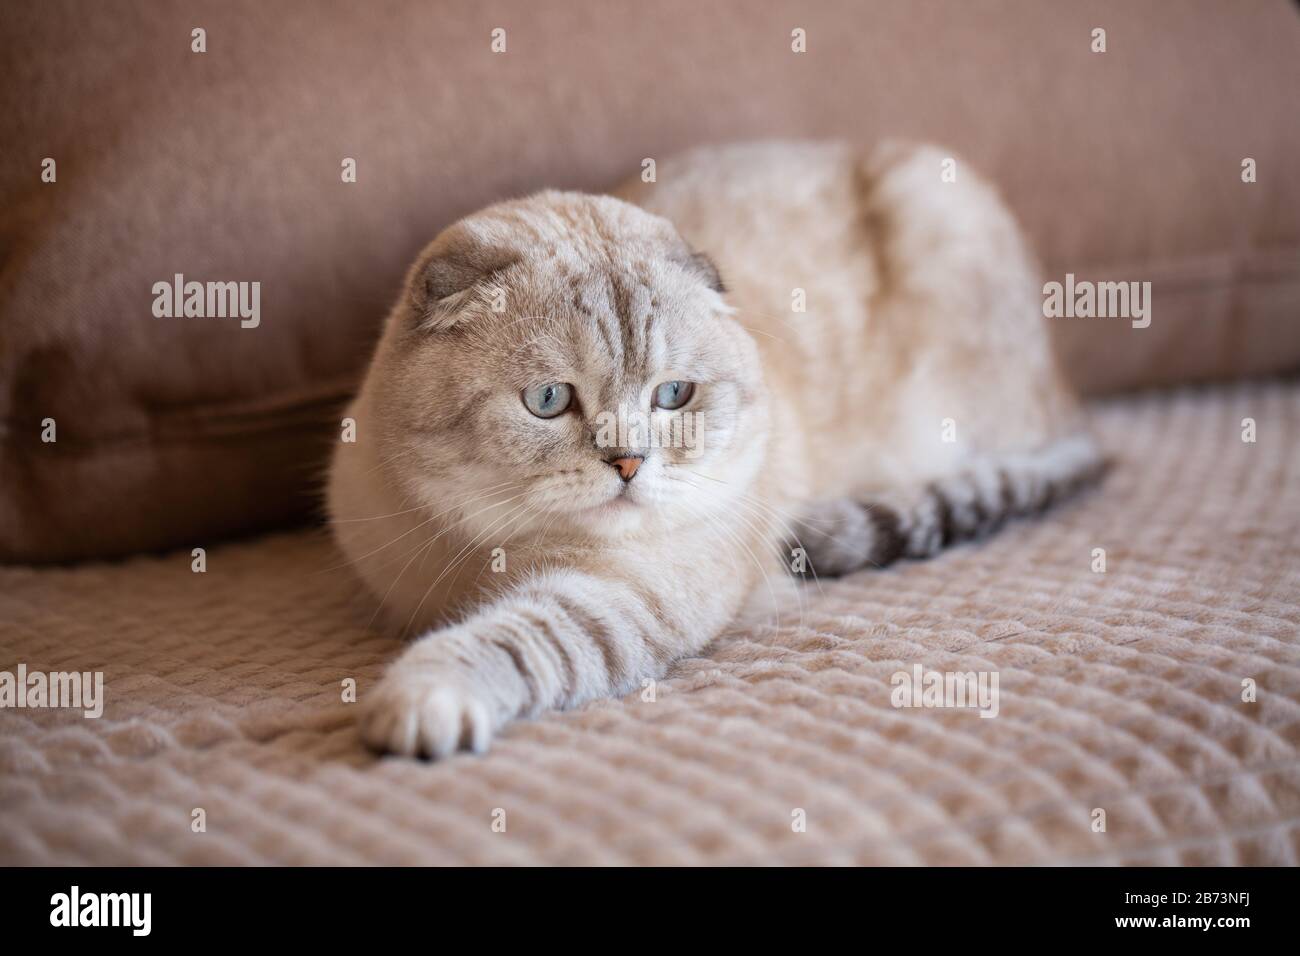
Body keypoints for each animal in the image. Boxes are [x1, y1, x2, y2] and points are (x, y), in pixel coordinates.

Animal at [325, 141, 1097, 759]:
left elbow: (509, 639)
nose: (628, 463)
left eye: (673, 395)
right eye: (548, 400)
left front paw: (419, 704)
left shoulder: (627, 592)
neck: (500, 549)